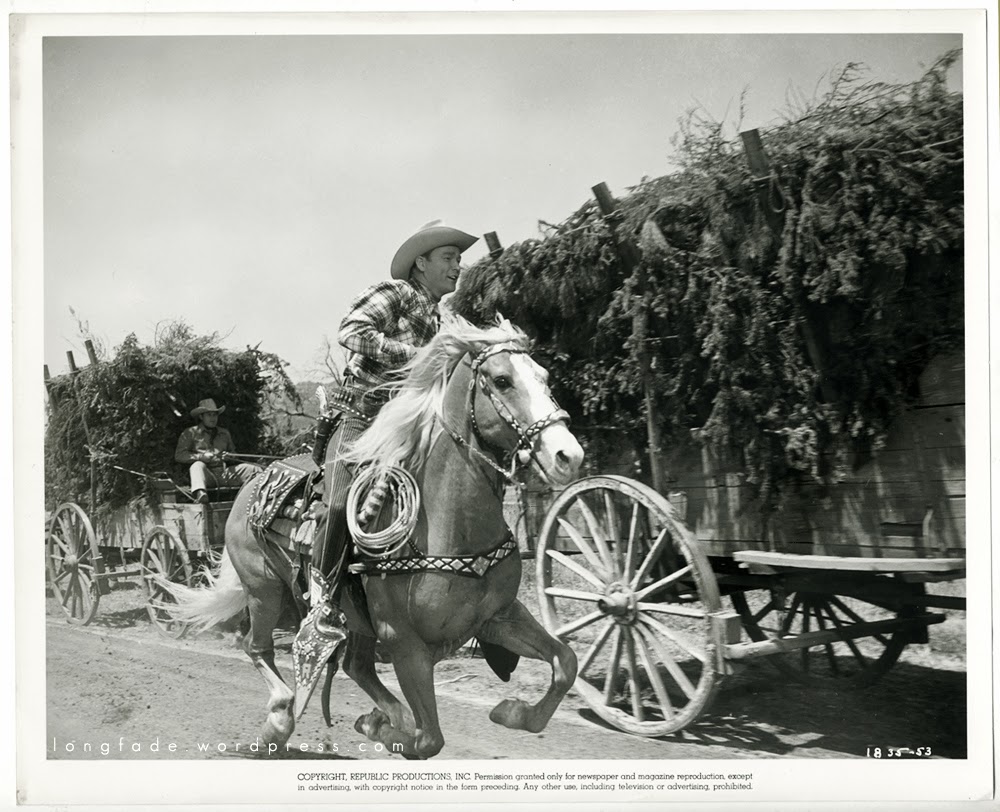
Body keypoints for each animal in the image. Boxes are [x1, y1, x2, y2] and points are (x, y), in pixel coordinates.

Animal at [166, 315, 584, 759]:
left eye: (544, 377)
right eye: (503, 380)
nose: (568, 455)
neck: (450, 526)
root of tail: (253, 481)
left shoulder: (499, 617)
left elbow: (566, 662)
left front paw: (511, 712)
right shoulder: (403, 642)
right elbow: (429, 738)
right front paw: (378, 727)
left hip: (351, 619)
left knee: (356, 665)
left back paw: (381, 713)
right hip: (264, 591)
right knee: (256, 646)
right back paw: (279, 723)